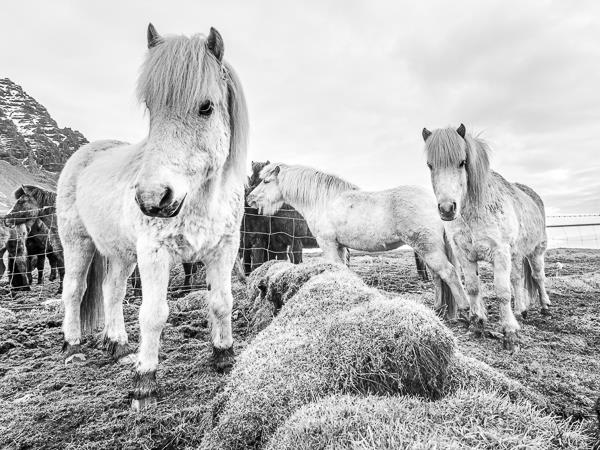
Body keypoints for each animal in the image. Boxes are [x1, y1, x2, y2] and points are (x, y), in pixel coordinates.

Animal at [56, 25, 248, 412]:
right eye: (151, 108)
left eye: (206, 106)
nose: (151, 199)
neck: (201, 200)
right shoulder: (154, 254)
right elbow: (154, 314)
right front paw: (144, 381)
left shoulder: (223, 250)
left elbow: (222, 302)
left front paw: (223, 355)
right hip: (78, 243)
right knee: (75, 290)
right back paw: (72, 345)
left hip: (120, 255)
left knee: (111, 291)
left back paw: (116, 344)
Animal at [246, 163, 472, 316]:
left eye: (266, 181)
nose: (249, 199)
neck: (324, 200)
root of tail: (439, 203)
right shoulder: (339, 246)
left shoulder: (328, 244)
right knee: (438, 277)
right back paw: (439, 309)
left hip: (428, 248)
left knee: (449, 273)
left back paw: (465, 311)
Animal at [422, 123, 548, 352]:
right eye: (430, 165)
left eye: (462, 162)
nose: (447, 209)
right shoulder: (465, 255)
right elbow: (473, 288)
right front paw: (476, 324)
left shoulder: (500, 253)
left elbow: (502, 292)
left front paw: (510, 333)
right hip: (516, 255)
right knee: (518, 279)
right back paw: (520, 312)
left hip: (536, 251)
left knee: (538, 277)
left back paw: (545, 307)